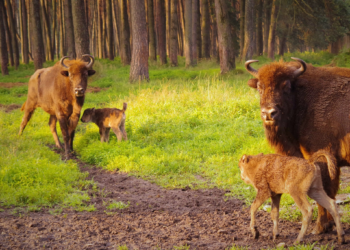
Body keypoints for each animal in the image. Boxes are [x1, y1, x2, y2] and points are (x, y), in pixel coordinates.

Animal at [245, 57, 350, 235]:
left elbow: (324, 191)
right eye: (260, 87)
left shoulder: (322, 158)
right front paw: (328, 225)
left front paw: (320, 227)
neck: (303, 97)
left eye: (286, 86)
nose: (269, 113)